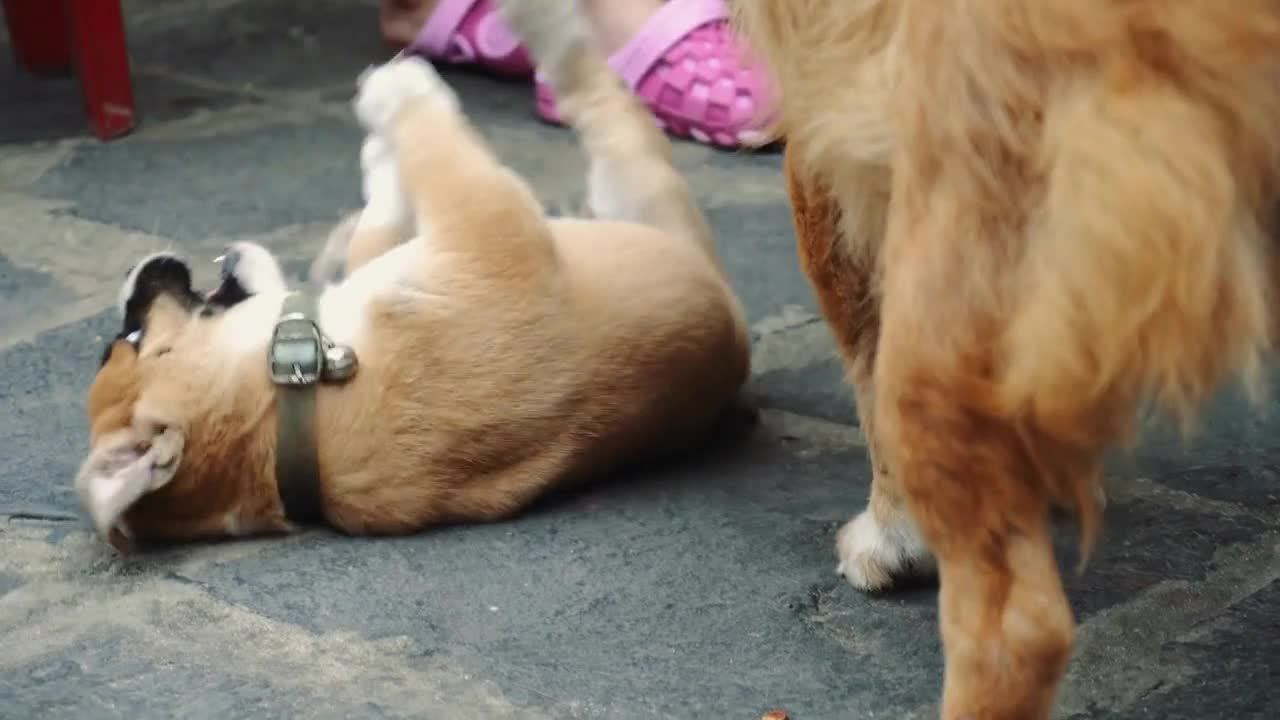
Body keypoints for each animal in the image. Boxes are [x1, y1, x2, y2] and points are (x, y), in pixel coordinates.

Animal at [74, 2, 747, 545]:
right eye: (128, 338)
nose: (135, 276)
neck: (285, 405)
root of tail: (737, 335)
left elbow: (383, 219)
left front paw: (372, 172)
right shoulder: (489, 223)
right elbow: (431, 144)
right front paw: (397, 92)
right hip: (639, 184)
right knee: (589, 83)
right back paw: (539, 20)